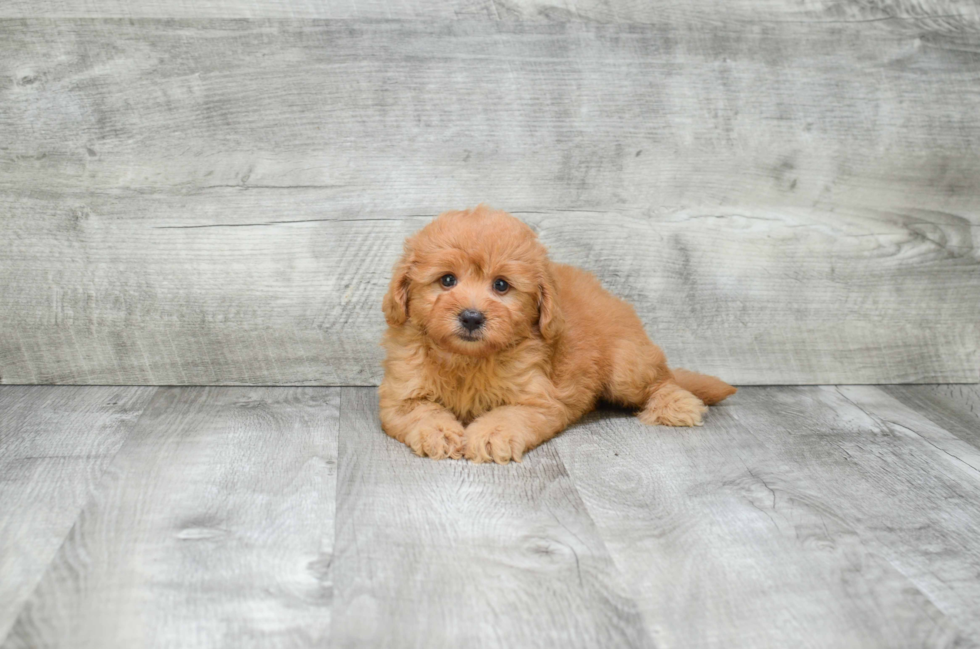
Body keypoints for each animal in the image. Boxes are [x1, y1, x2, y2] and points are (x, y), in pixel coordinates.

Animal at [378, 205, 732, 464]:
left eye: (501, 285)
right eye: (447, 280)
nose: (471, 317)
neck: (468, 359)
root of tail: (611, 298)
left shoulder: (537, 398)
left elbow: (509, 416)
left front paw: (492, 436)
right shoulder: (401, 395)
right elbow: (421, 412)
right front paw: (439, 433)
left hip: (627, 366)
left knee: (662, 380)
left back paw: (676, 405)